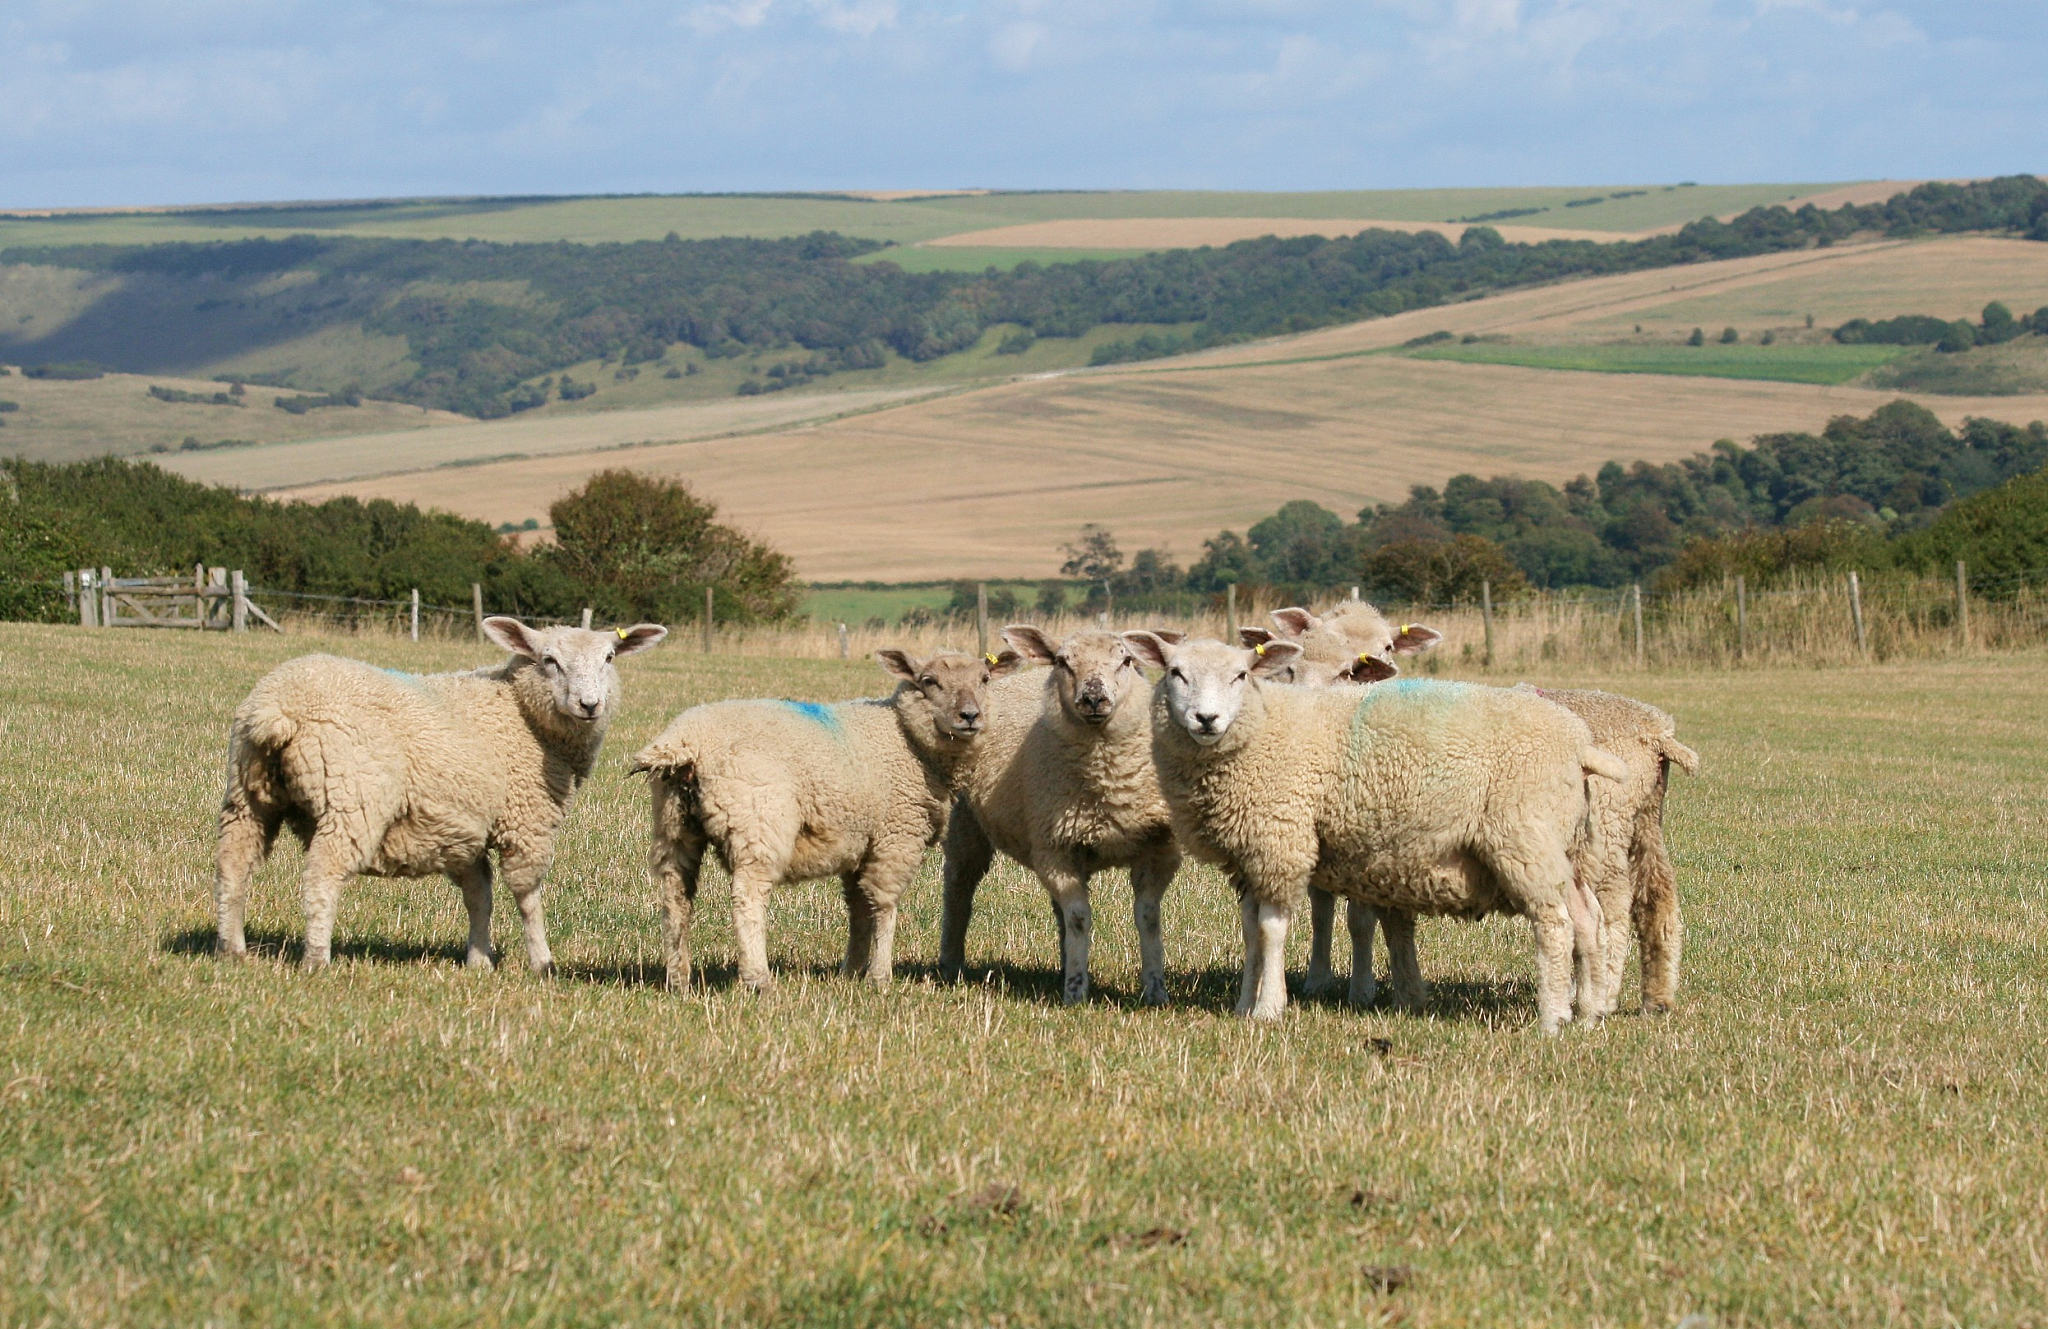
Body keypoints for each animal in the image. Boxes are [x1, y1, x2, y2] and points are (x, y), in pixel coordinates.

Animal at [213, 617, 669, 972]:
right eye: (548, 660)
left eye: (609, 658)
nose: (589, 704)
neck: (519, 713)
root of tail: (279, 708)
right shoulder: (527, 820)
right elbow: (527, 896)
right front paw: (542, 962)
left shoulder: (464, 826)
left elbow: (479, 896)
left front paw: (479, 960)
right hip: (354, 799)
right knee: (322, 876)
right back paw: (316, 959)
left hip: (247, 794)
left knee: (233, 866)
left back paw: (232, 949)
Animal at [629, 648, 1020, 993]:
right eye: (929, 681)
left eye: (985, 679)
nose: (970, 715)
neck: (907, 741)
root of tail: (685, 743)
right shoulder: (895, 837)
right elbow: (885, 905)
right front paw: (880, 977)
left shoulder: (859, 840)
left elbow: (859, 909)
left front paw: (851, 972)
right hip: (759, 822)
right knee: (747, 896)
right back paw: (758, 979)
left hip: (674, 825)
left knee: (675, 899)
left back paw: (679, 979)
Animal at [936, 626, 1183, 1006]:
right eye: (1063, 661)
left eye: (1126, 660)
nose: (1093, 698)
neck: (1107, 780)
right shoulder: (1055, 850)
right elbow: (1080, 918)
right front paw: (1076, 992)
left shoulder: (1157, 847)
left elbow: (1149, 917)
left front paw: (1156, 991)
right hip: (966, 825)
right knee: (958, 889)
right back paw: (950, 966)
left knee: (1057, 911)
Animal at [1125, 632, 1624, 1031]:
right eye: (1175, 673)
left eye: (1241, 676)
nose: (1206, 720)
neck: (1265, 727)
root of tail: (1580, 744)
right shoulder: (1248, 855)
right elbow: (1250, 932)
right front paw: (1244, 1005)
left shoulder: (1282, 842)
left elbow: (1271, 929)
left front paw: (1269, 1010)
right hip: (1562, 844)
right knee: (1588, 918)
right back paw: (1589, 1013)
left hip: (1524, 835)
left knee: (1555, 923)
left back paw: (1552, 1020)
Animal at [1261, 601, 1699, 1014]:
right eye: (1292, 669)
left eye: (1385, 648)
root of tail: (1655, 729)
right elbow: (1330, 910)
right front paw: (1326, 982)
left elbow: (1365, 918)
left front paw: (1364, 990)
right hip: (1643, 820)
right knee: (1658, 900)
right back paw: (1654, 998)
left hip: (1602, 828)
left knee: (1612, 905)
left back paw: (1601, 996)